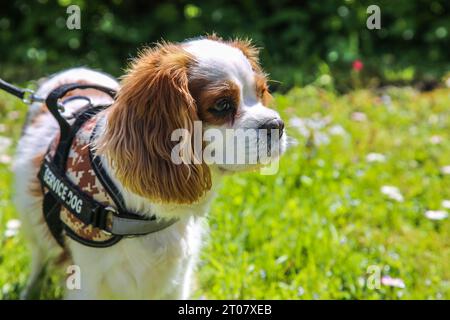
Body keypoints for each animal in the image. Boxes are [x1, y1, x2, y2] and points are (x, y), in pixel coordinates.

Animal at [13, 36, 288, 298]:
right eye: (222, 104)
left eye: (262, 93)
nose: (276, 124)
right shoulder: (86, 280)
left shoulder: (179, 278)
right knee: (38, 257)